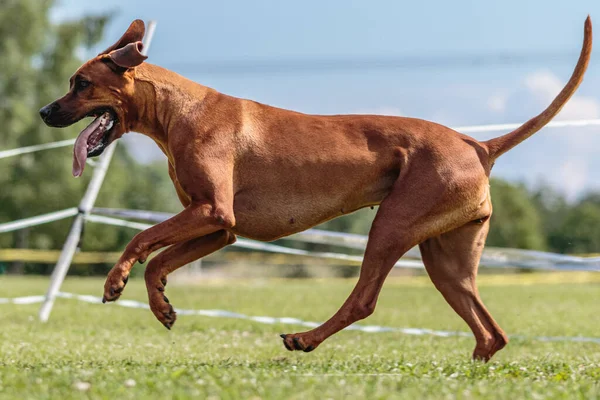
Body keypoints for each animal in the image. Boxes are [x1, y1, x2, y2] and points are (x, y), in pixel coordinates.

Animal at [39, 17, 592, 360]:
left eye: (79, 83)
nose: (44, 112)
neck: (179, 110)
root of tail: (478, 145)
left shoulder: (213, 212)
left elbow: (140, 239)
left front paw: (115, 282)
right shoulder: (220, 228)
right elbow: (158, 261)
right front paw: (161, 306)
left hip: (392, 224)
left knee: (364, 301)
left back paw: (305, 340)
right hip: (448, 260)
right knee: (491, 332)